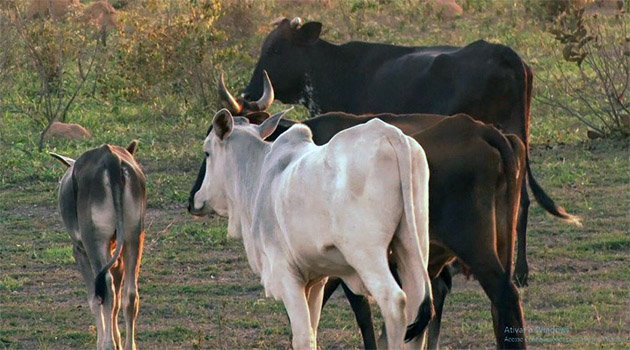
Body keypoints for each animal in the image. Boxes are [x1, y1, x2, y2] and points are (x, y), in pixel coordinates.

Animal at [188, 108, 434, 348]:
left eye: (207, 153)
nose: (194, 200)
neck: (260, 174)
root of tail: (389, 134)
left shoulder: (286, 275)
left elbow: (303, 337)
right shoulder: (316, 281)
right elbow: (313, 332)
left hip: (367, 254)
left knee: (394, 301)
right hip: (412, 247)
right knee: (416, 314)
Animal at [241, 17, 584, 288]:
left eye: (276, 50)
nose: (248, 93)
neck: (334, 68)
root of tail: (504, 53)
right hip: (517, 138)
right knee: (522, 200)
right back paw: (519, 271)